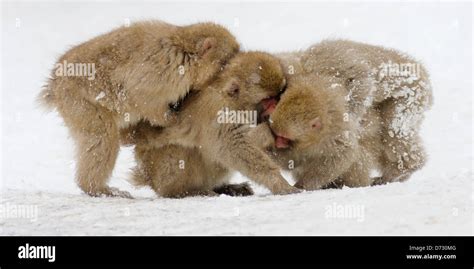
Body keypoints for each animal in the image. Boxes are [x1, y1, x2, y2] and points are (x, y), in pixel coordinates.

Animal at [38, 21, 241, 196]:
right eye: (226, 61)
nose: (231, 75)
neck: (184, 51)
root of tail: (54, 83)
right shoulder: (164, 69)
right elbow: (140, 96)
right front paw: (170, 119)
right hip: (78, 100)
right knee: (102, 136)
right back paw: (96, 188)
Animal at [122, 51, 300, 196]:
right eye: (268, 100)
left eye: (279, 94)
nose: (276, 106)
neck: (233, 101)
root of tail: (148, 177)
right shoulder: (220, 113)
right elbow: (236, 148)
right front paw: (278, 183)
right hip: (161, 172)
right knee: (180, 149)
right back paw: (183, 191)